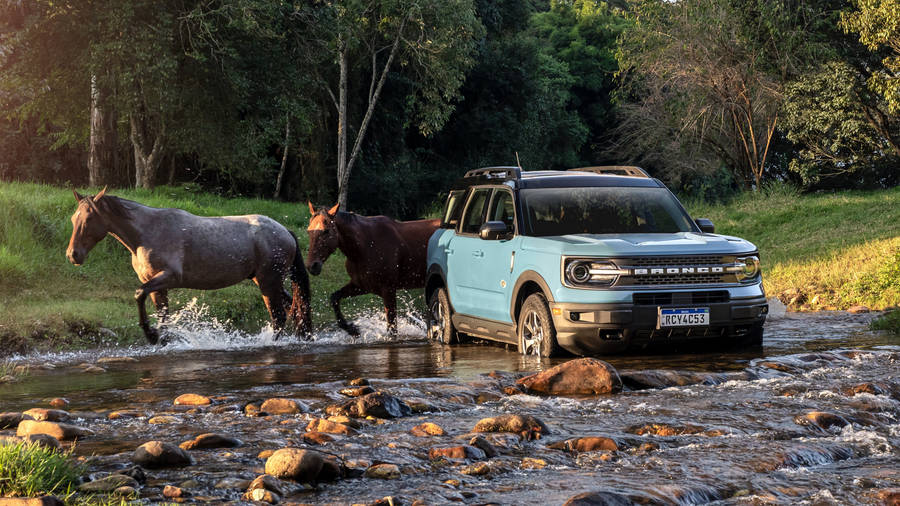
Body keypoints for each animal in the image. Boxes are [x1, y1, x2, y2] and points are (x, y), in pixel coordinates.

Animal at [66, 188, 311, 344]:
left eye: (88, 219)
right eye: (73, 219)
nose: (73, 255)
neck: (146, 233)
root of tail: (285, 231)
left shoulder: (169, 277)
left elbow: (138, 295)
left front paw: (151, 335)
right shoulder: (156, 285)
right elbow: (162, 316)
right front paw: (162, 339)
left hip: (268, 282)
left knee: (279, 317)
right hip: (269, 282)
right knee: (295, 309)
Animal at [305, 202, 440, 336]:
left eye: (326, 231)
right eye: (308, 231)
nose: (312, 266)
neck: (364, 247)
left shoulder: (388, 291)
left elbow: (392, 330)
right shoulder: (361, 286)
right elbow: (334, 298)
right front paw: (351, 329)